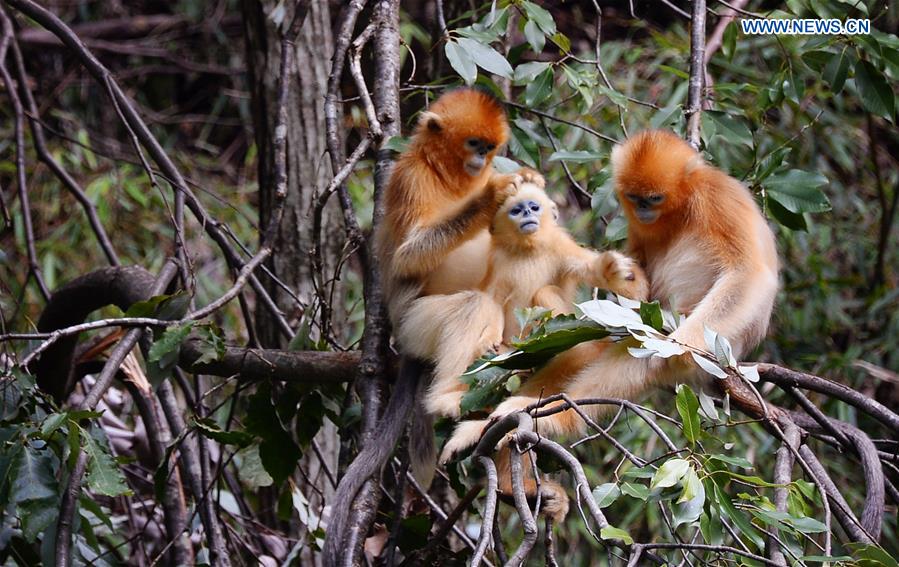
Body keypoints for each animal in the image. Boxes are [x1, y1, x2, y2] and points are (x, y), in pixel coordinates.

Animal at [442, 130, 780, 520]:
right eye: (635, 199)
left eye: (655, 198)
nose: (645, 210)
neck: (681, 207)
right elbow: (638, 277)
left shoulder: (719, 199)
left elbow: (746, 274)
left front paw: (677, 342)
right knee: (586, 347)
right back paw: (510, 434)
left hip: (709, 354)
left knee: (640, 356)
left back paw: (552, 421)